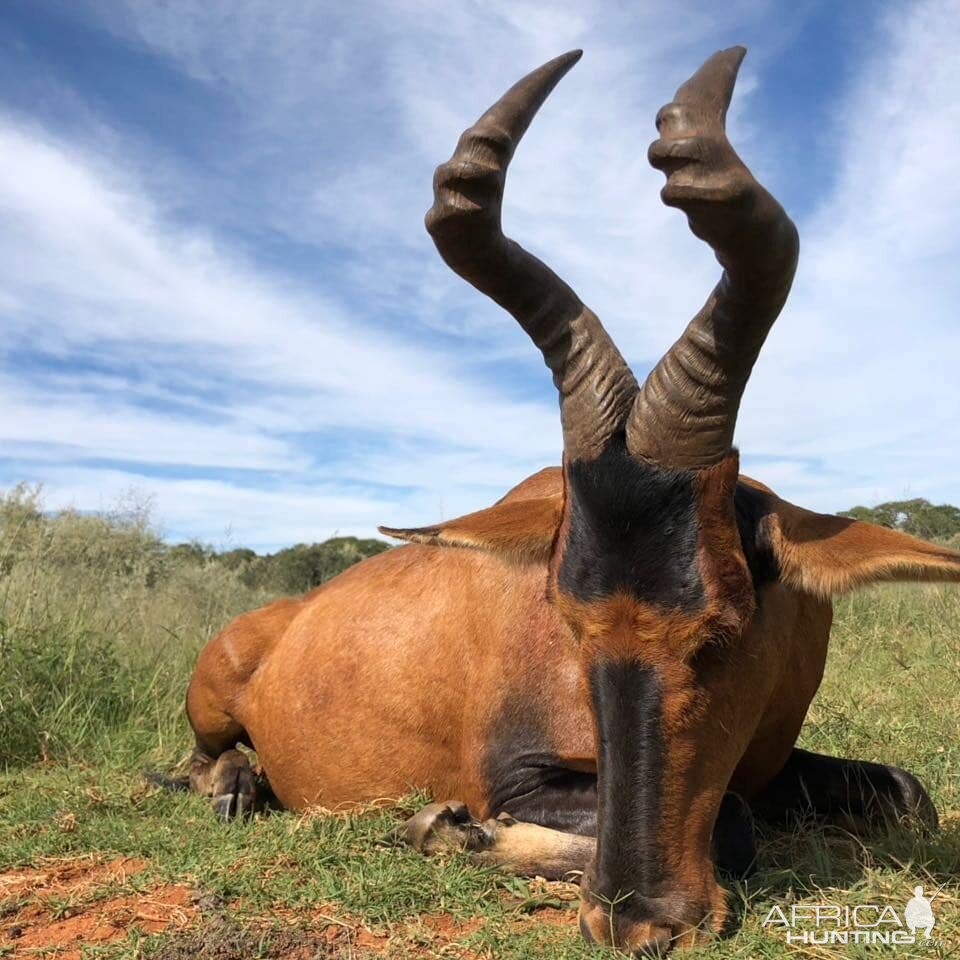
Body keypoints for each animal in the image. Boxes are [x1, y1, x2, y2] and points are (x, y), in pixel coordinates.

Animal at [180, 47, 960, 952]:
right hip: (211, 703)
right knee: (200, 760)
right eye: (567, 619)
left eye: (725, 627)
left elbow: (905, 795)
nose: (635, 919)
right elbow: (730, 825)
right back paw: (239, 787)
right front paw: (450, 828)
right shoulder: (517, 773)